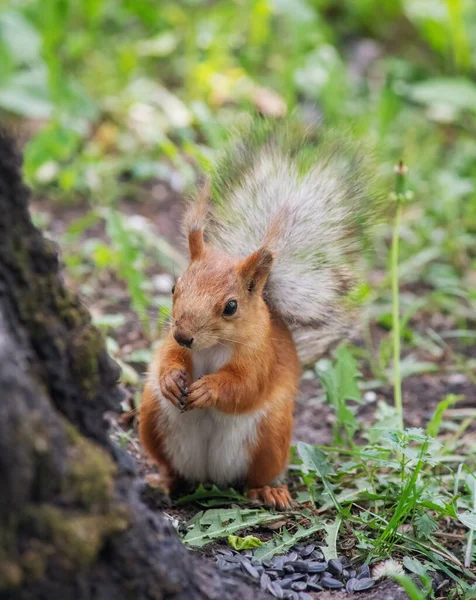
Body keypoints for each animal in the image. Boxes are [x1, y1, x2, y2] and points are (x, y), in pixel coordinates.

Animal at [139, 119, 376, 508]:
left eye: (231, 306)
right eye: (175, 287)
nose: (184, 335)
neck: (212, 347)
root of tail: (210, 477)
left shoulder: (261, 356)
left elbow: (244, 387)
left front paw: (209, 389)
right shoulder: (169, 343)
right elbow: (166, 360)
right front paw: (173, 379)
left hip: (270, 435)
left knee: (255, 476)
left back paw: (267, 490)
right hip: (152, 418)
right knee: (172, 468)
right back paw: (163, 480)